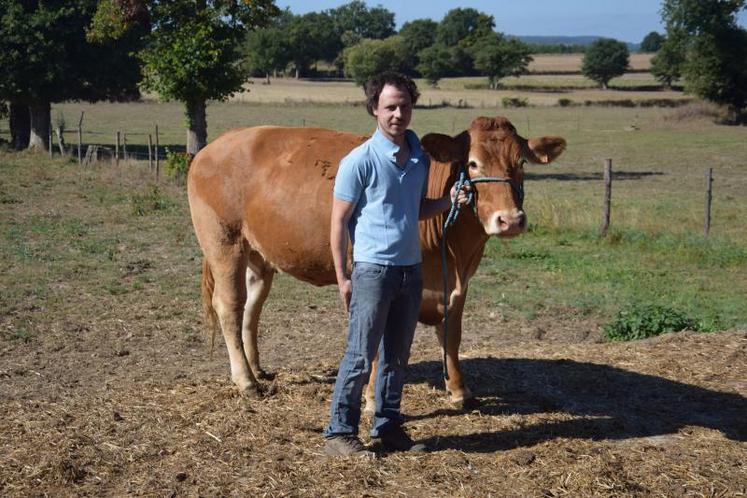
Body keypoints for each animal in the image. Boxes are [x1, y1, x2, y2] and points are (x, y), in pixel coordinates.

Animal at [188, 117, 568, 408]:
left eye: (521, 163)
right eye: (472, 163)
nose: (510, 220)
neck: (454, 249)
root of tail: (217, 144)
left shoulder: (458, 284)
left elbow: (452, 334)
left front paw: (459, 390)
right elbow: (376, 340)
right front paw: (371, 397)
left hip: (258, 255)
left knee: (252, 307)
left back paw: (257, 368)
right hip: (223, 243)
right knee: (230, 306)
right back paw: (246, 381)